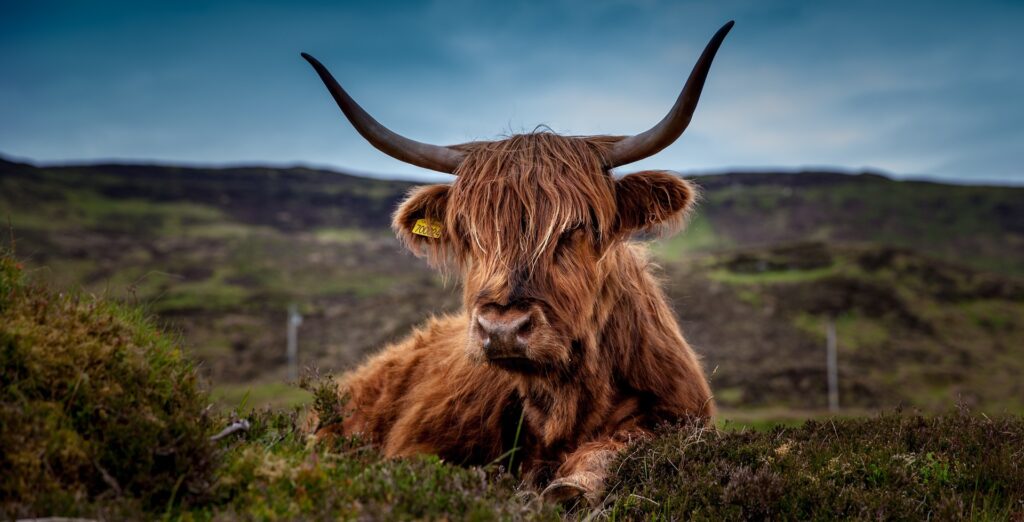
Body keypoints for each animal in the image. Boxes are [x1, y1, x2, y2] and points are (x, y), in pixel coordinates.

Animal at [299, 21, 733, 505]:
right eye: (469, 233)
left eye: (576, 227)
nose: (502, 328)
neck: (564, 403)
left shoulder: (678, 416)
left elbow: (619, 446)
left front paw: (571, 485)